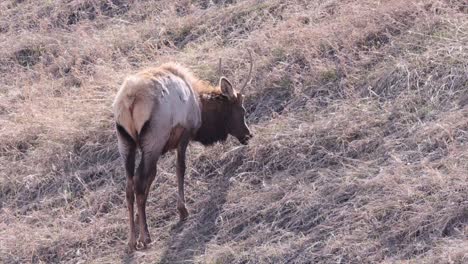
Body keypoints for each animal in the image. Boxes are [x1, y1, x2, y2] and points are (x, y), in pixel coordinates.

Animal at [112, 52, 252, 251]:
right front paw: (182, 210)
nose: (248, 135)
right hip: (154, 138)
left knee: (129, 185)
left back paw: (132, 240)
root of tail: (130, 101)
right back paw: (146, 237)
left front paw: (139, 222)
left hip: (126, 143)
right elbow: (180, 168)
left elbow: (152, 178)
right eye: (242, 110)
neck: (200, 106)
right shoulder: (184, 134)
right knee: (138, 181)